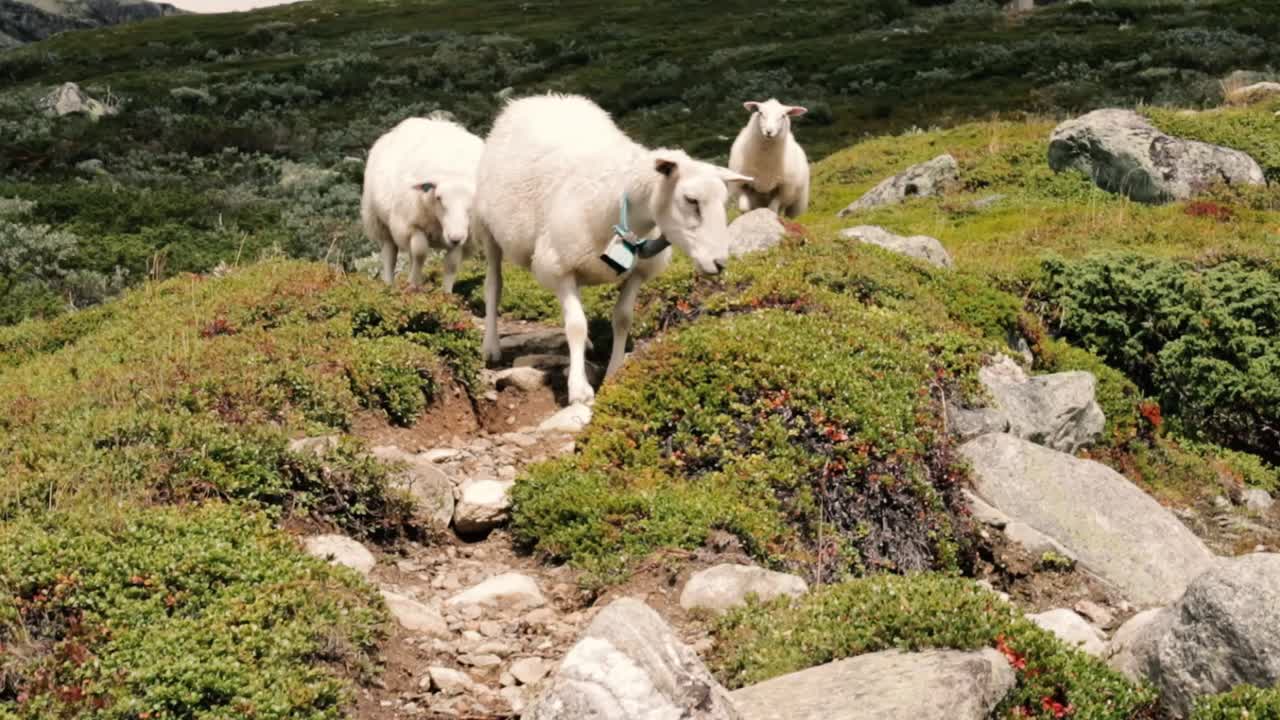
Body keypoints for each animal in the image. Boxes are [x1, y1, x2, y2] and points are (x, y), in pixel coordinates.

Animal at [361, 117, 484, 293]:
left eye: (472, 203)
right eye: (439, 197)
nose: (455, 238)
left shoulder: (464, 236)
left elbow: (451, 265)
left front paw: (446, 294)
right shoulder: (410, 225)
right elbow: (420, 252)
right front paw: (413, 284)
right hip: (379, 222)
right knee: (390, 254)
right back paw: (389, 285)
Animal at [472, 93, 752, 406]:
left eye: (724, 201)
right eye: (691, 200)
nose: (720, 262)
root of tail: (539, 98)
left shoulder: (638, 271)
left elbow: (622, 319)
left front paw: (614, 373)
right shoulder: (557, 267)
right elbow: (576, 324)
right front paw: (579, 389)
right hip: (488, 230)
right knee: (494, 286)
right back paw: (491, 347)